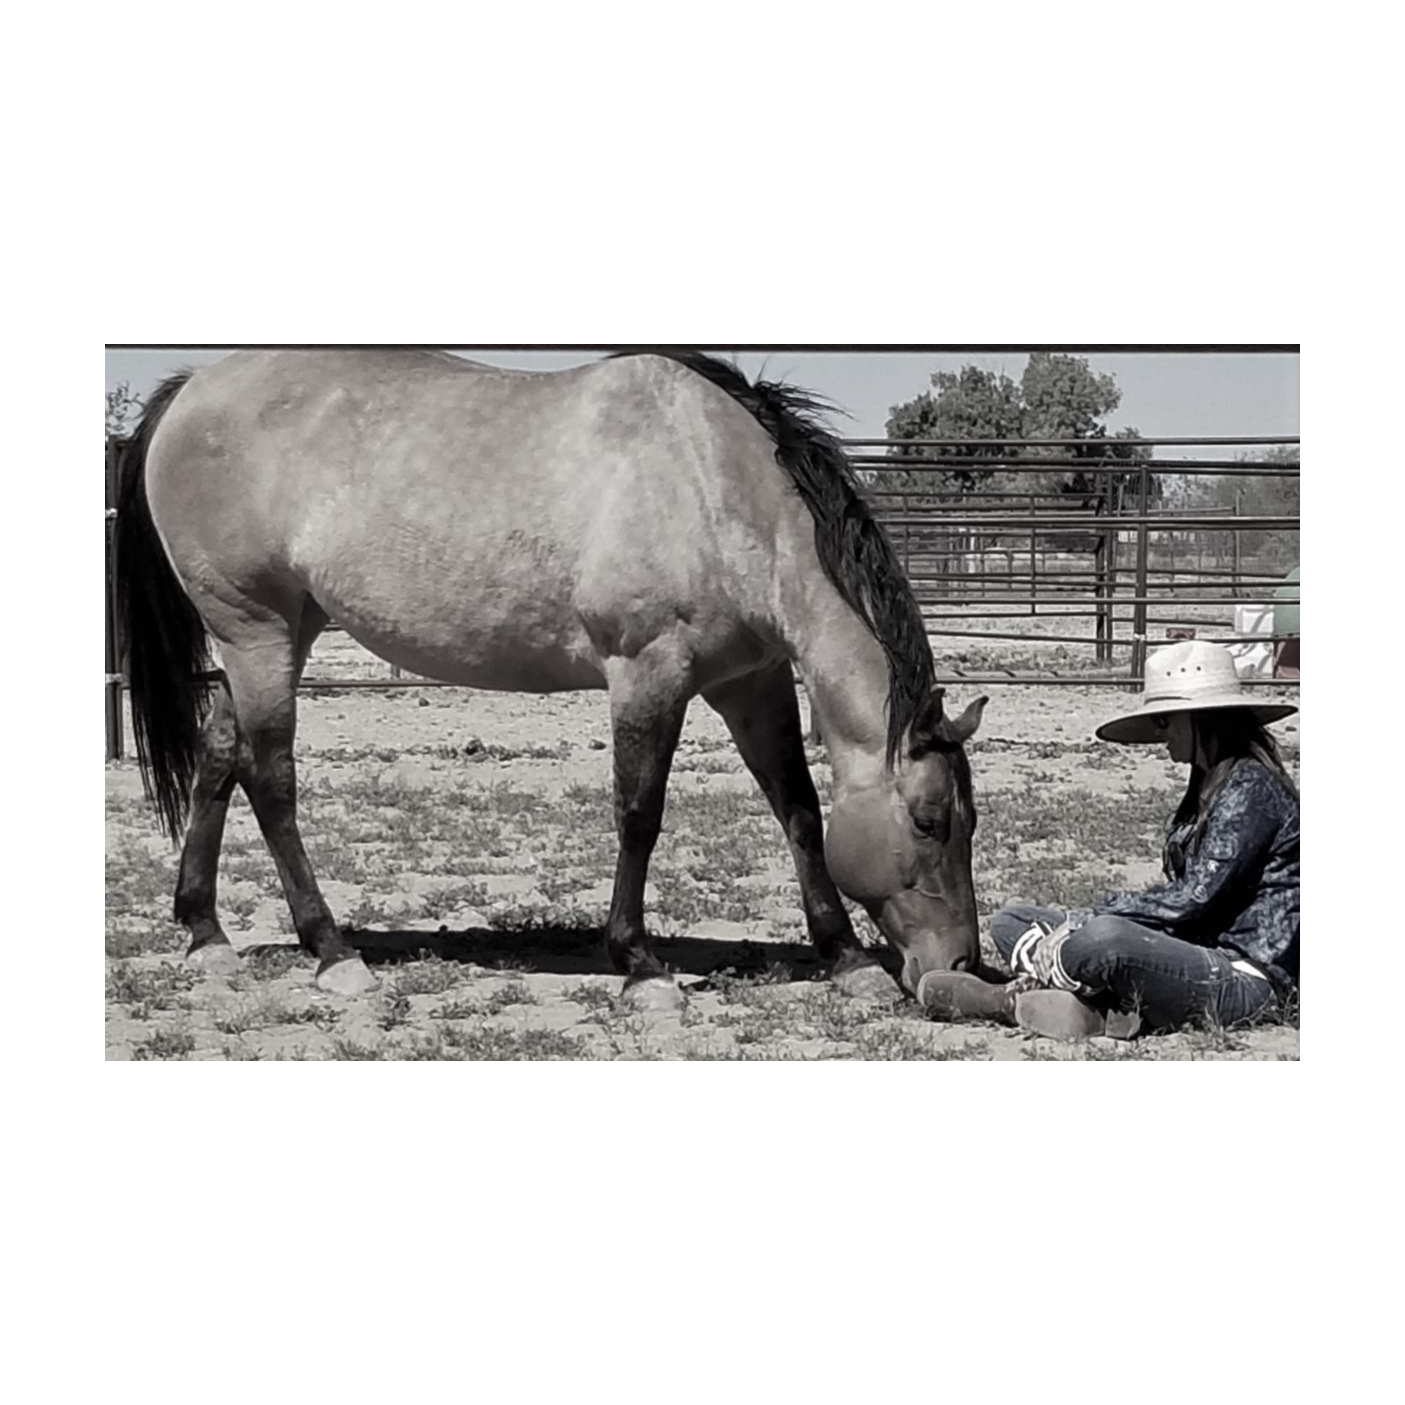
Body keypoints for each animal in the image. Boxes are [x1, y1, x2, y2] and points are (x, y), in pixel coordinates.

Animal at [116, 350, 987, 1005]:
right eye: (927, 821)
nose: (958, 964)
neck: (715, 481)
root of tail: (192, 385)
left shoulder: (752, 683)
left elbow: (799, 809)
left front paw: (844, 956)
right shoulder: (648, 672)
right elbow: (638, 813)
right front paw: (639, 965)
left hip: (281, 633)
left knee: (218, 757)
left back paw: (206, 934)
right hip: (255, 631)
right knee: (270, 779)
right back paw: (332, 951)